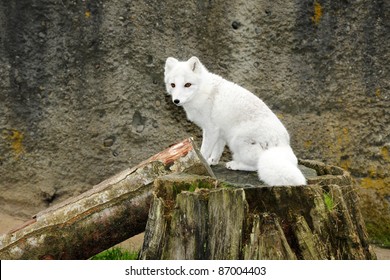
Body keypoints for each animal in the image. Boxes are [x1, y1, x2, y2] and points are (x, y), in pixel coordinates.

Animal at [163, 56, 306, 186]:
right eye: (173, 85)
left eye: (187, 84)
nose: (176, 101)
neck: (203, 91)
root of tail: (282, 144)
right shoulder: (220, 131)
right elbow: (218, 149)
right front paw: (212, 161)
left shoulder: (211, 129)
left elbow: (204, 151)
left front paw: (202, 163)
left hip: (236, 140)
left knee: (256, 166)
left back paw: (234, 165)